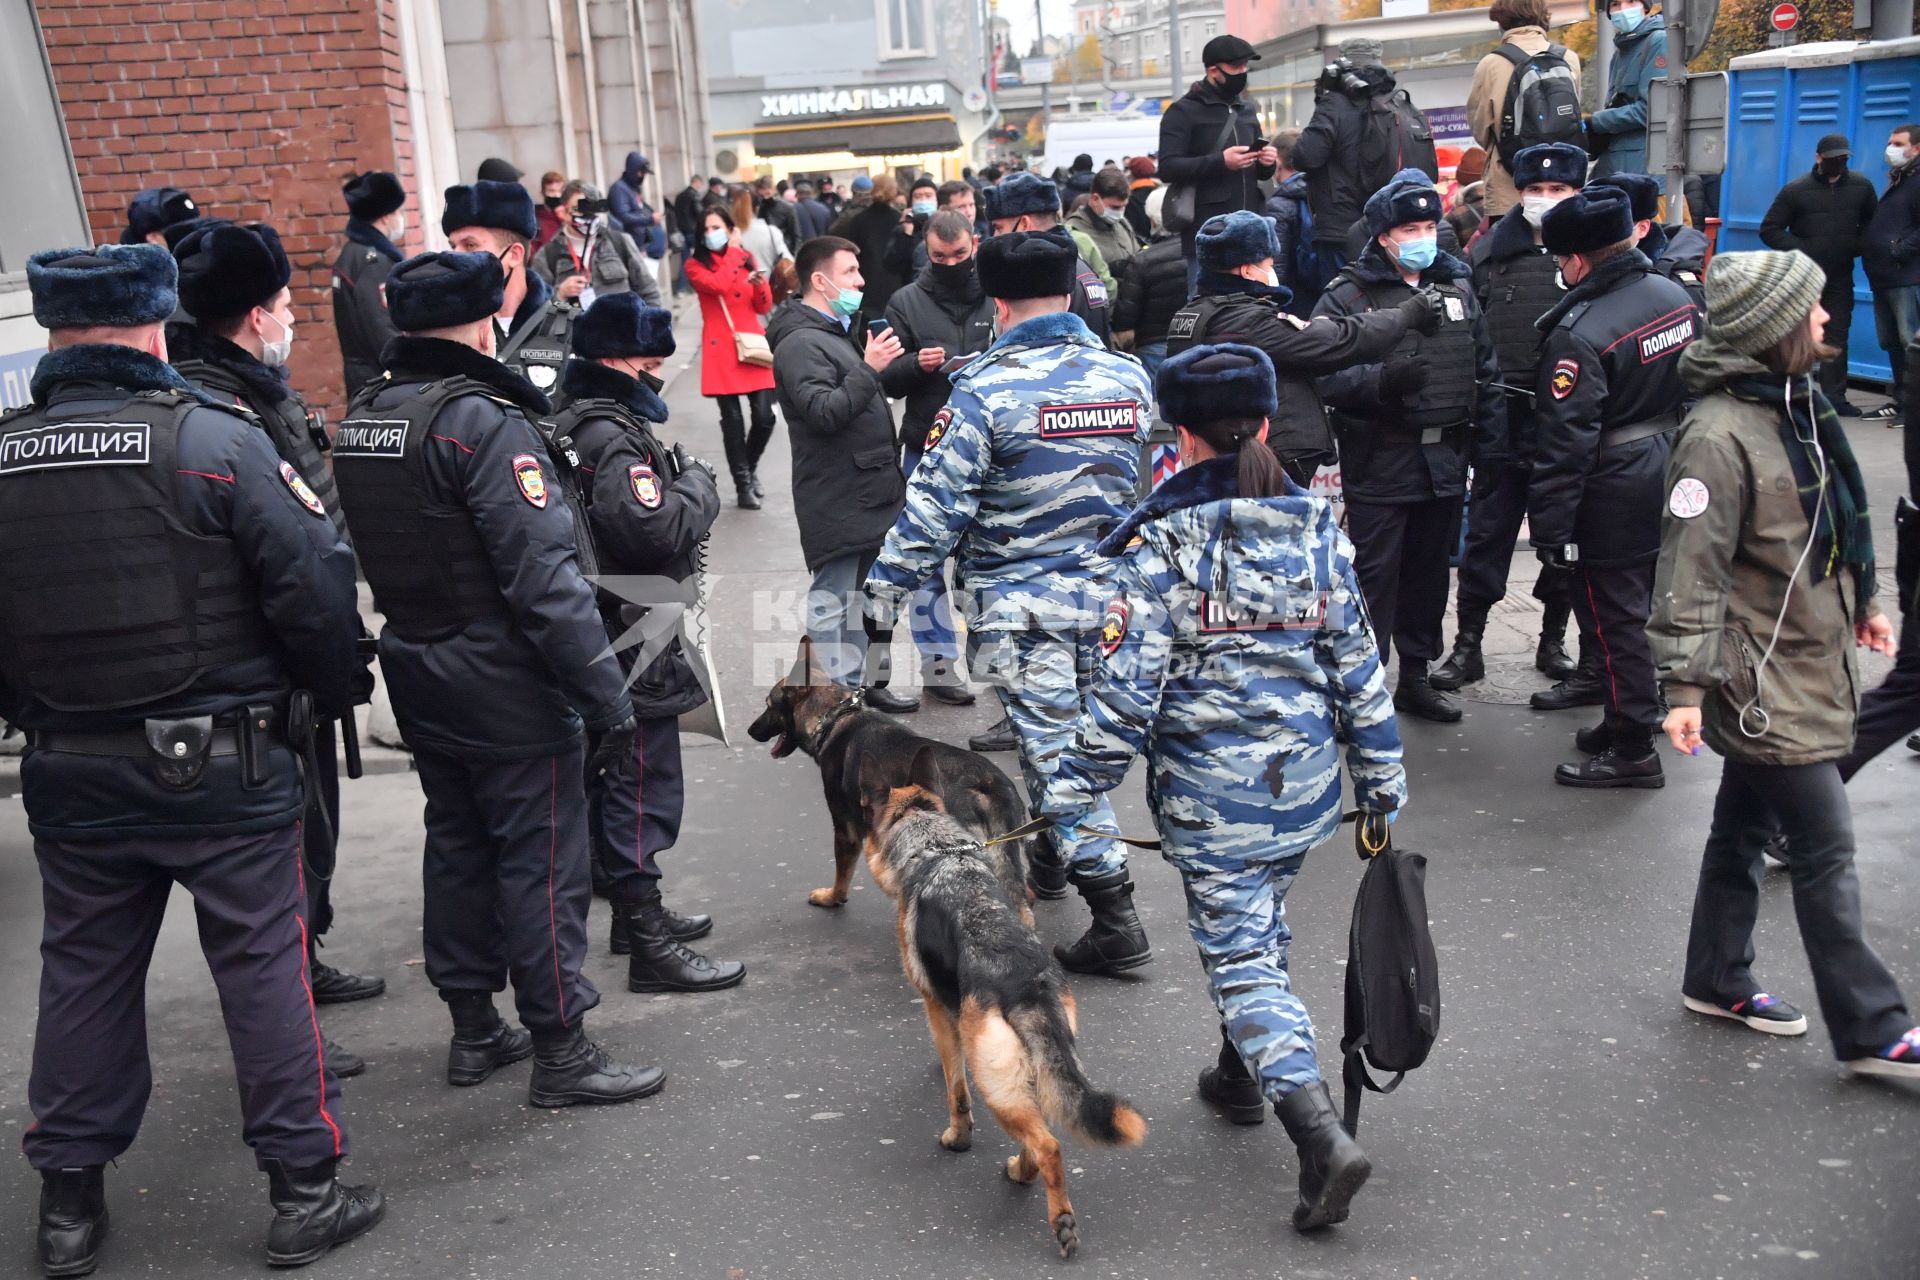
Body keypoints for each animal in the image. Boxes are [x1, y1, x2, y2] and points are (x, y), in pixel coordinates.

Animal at [741, 637, 1029, 917]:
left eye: (769, 705)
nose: (750, 731)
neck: (832, 718)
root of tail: (988, 783)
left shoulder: (846, 831)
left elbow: (842, 874)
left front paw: (832, 898)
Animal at [864, 759, 1144, 1258]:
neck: (938, 849)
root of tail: (1026, 981)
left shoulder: (935, 1005)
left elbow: (955, 1090)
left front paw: (957, 1137)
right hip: (1036, 1066)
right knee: (1039, 1131)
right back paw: (1021, 1171)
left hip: (998, 1084)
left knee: (1047, 1144)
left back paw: (1059, 1216)